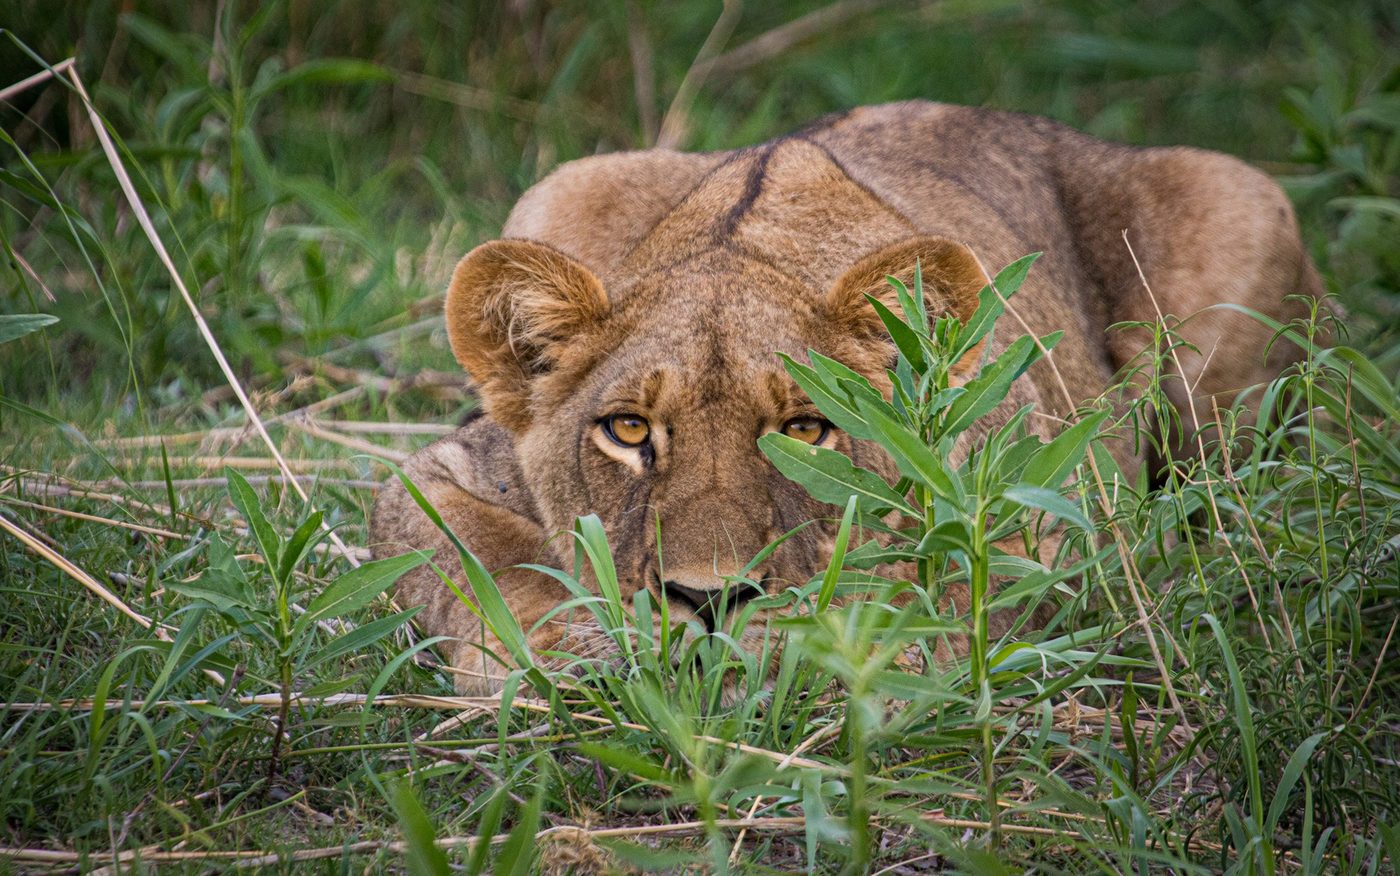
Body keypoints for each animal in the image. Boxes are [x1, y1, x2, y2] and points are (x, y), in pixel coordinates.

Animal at [370, 102, 1322, 692]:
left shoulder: (1053, 527)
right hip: (566, 182)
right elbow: (476, 552)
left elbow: (950, 597)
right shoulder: (438, 467)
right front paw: (559, 647)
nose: (708, 604)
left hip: (1239, 211)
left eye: (804, 429)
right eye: (629, 430)